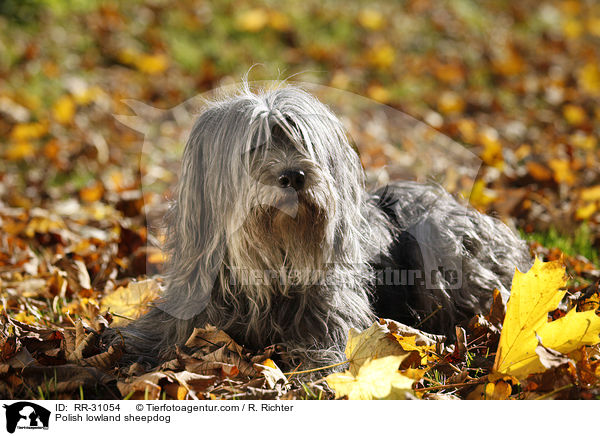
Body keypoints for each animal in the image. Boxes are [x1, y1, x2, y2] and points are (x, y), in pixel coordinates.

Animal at [105, 84, 532, 372]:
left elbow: (327, 353)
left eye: (301, 142)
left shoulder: (333, 317)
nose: (294, 175)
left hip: (441, 239)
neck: (271, 261)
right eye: (254, 147)